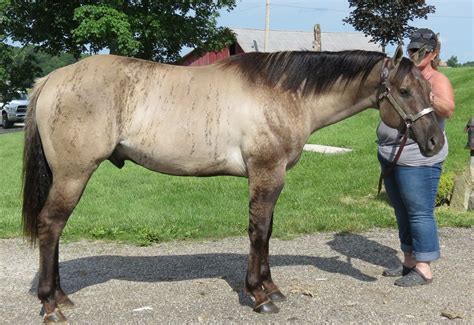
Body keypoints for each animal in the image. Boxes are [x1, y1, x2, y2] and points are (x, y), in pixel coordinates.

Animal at [22, 45, 444, 322]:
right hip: (73, 175)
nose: (434, 142)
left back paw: (60, 297)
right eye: (404, 91)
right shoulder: (266, 173)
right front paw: (259, 295)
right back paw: (51, 304)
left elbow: (268, 231)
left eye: (428, 89)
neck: (283, 92)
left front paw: (271, 287)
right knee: (50, 226)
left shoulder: (272, 177)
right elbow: (258, 231)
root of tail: (51, 80)